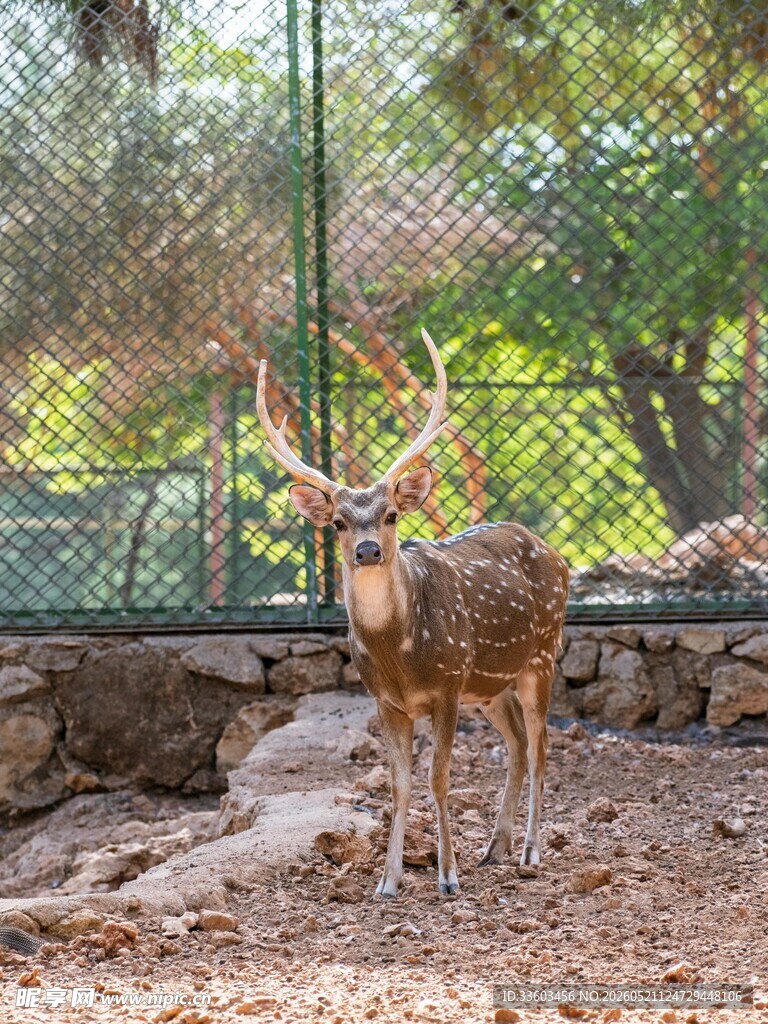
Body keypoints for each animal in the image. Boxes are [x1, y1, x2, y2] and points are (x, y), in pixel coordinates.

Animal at [256, 329, 569, 897]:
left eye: (391, 515)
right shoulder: (386, 700)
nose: (367, 551)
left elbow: (438, 777)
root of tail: (555, 554)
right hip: (489, 684)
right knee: (516, 743)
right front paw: (389, 880)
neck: (400, 654)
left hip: (541, 652)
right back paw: (495, 848)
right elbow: (399, 785)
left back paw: (530, 852)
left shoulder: (446, 683)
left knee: (540, 744)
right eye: (338, 522)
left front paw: (447, 876)